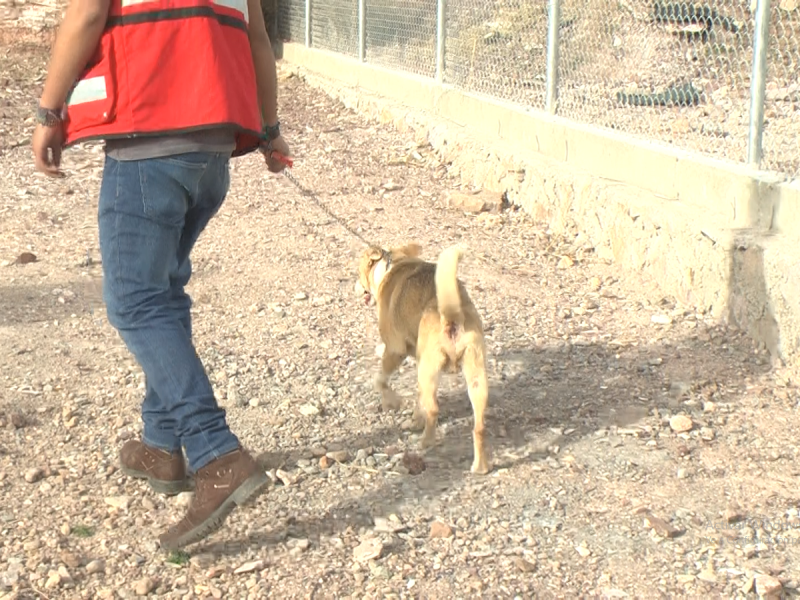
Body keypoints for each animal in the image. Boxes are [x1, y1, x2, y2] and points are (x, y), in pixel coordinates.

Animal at [360, 243, 490, 474]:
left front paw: (393, 402)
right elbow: (418, 399)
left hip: (428, 372)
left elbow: (380, 380)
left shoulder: (394, 351)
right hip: (475, 377)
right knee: (479, 427)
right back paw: (480, 466)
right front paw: (414, 417)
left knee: (434, 410)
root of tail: (451, 319)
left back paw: (425, 442)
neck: (392, 264)